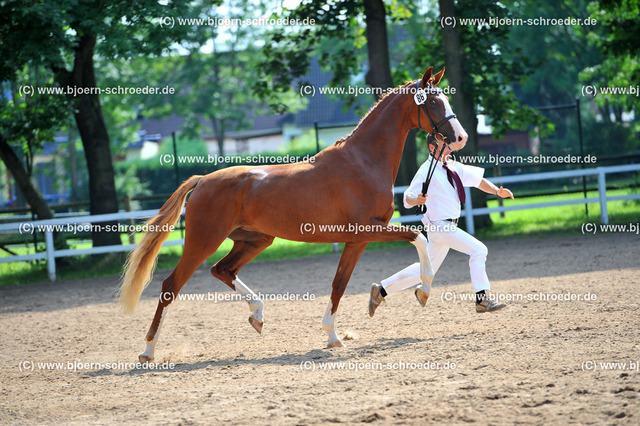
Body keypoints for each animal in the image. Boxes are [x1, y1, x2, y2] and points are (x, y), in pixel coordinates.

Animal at [119, 66, 464, 360]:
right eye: (433, 102)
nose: (460, 138)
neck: (363, 162)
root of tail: (203, 180)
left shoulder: (357, 241)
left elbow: (339, 284)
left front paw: (332, 336)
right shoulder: (368, 230)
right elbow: (419, 239)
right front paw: (423, 291)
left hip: (255, 240)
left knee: (223, 270)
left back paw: (257, 316)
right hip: (203, 241)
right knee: (171, 286)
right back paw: (148, 351)